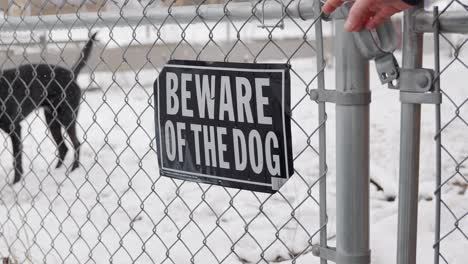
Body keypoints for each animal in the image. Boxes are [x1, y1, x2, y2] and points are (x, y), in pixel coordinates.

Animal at [0, 32, 97, 184]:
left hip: (67, 118)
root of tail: (71, 74)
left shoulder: (15, 128)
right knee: (63, 148)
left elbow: (16, 159)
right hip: (52, 121)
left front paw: (16, 183)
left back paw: (73, 170)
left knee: (76, 144)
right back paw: (56, 171)